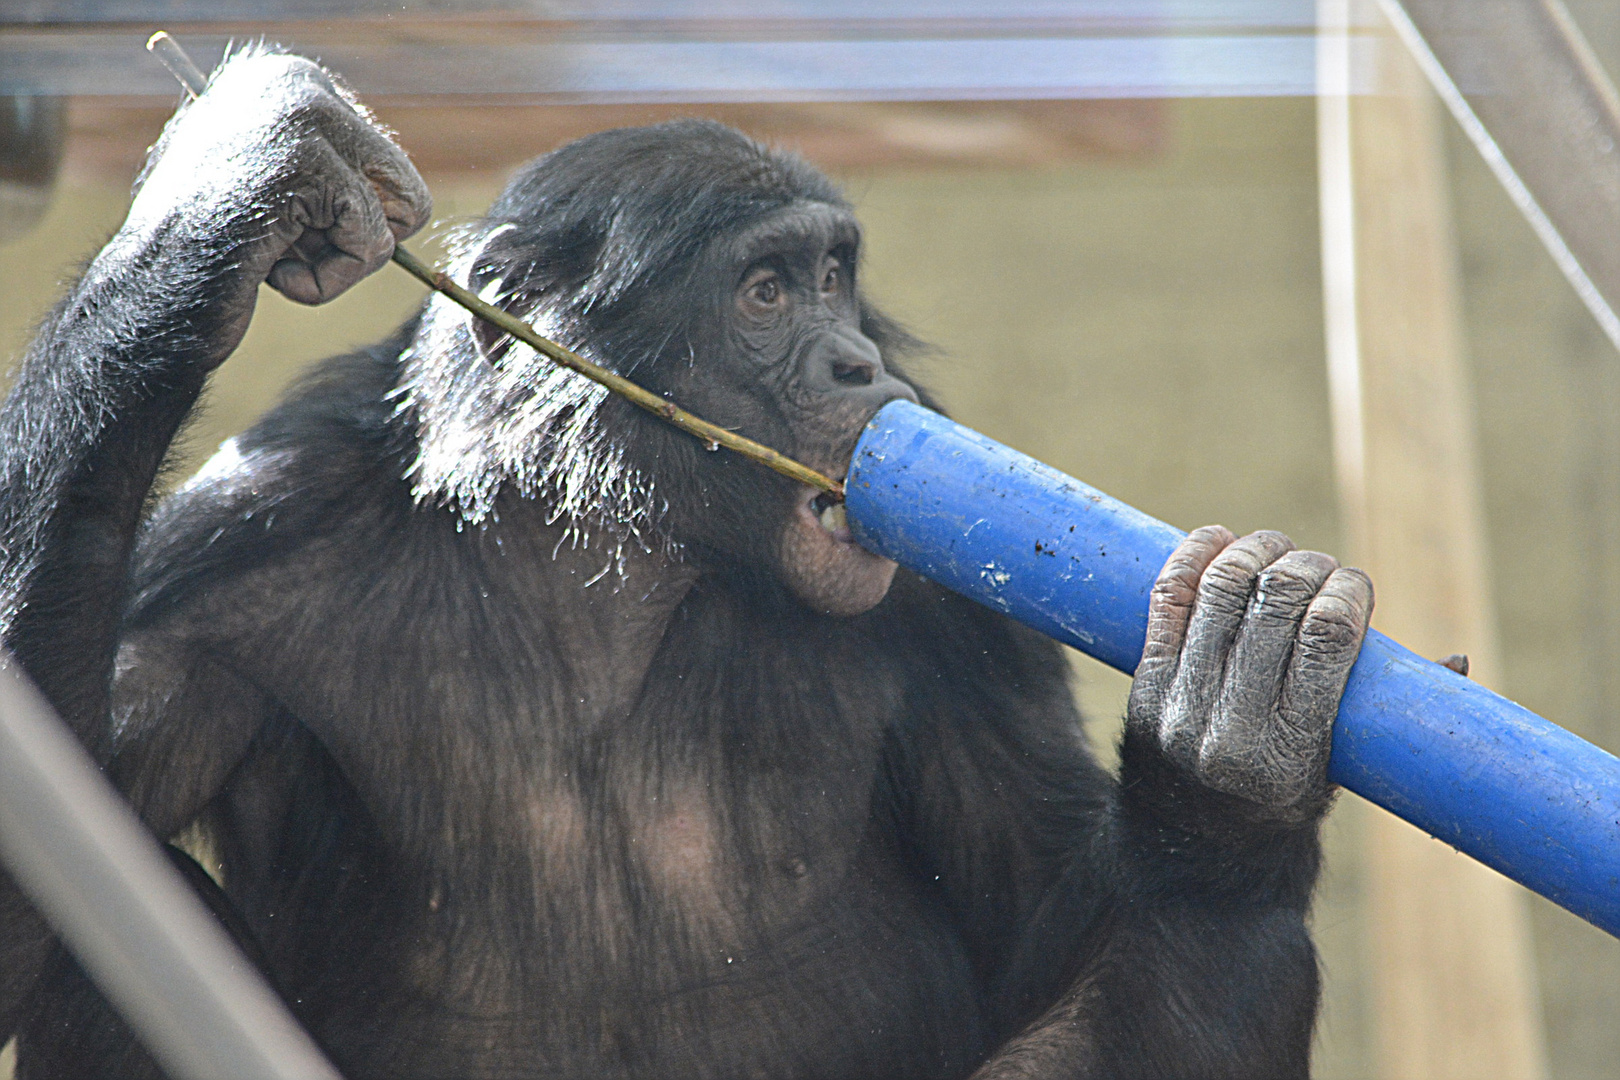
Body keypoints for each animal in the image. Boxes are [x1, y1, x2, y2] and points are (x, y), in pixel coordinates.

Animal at [0, 48, 1367, 1080]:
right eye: (763, 292)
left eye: (833, 277)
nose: (854, 365)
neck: (608, 561)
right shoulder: (230, 556)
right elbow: (58, 848)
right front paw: (226, 197)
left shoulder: (955, 608)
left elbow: (1044, 914)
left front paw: (1226, 755)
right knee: (89, 957)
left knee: (1228, 950)